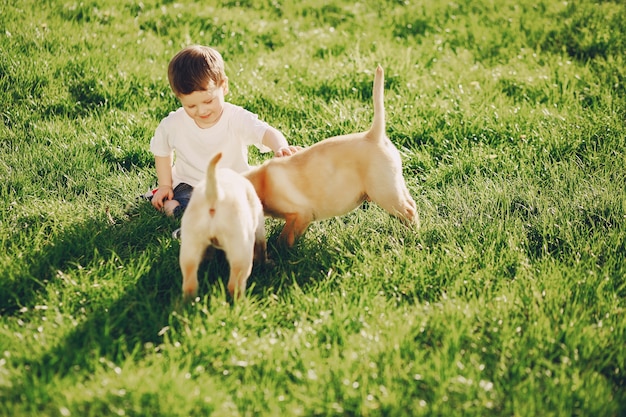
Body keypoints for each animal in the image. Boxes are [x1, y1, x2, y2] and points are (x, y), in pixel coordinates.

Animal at [178, 151, 266, 298]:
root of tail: (215, 194)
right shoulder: (259, 228)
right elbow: (262, 248)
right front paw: (265, 263)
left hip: (190, 248)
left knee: (189, 283)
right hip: (240, 252)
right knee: (234, 285)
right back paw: (241, 301)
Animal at [243, 65, 414, 245]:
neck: (262, 182)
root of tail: (374, 135)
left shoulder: (301, 213)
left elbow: (286, 237)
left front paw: (281, 249)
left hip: (384, 192)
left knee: (409, 211)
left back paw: (411, 234)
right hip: (394, 185)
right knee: (410, 203)